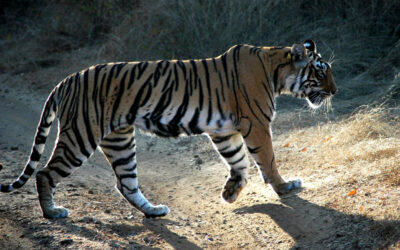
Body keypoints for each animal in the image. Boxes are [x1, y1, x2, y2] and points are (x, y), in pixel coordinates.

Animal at [0, 39, 338, 219]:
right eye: (321, 72)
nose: (335, 91)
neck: (275, 67)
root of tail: (65, 80)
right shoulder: (255, 123)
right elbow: (267, 160)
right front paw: (286, 187)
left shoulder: (224, 130)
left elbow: (239, 161)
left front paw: (230, 193)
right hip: (80, 136)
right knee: (45, 173)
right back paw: (52, 213)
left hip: (119, 140)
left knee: (125, 183)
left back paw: (154, 211)